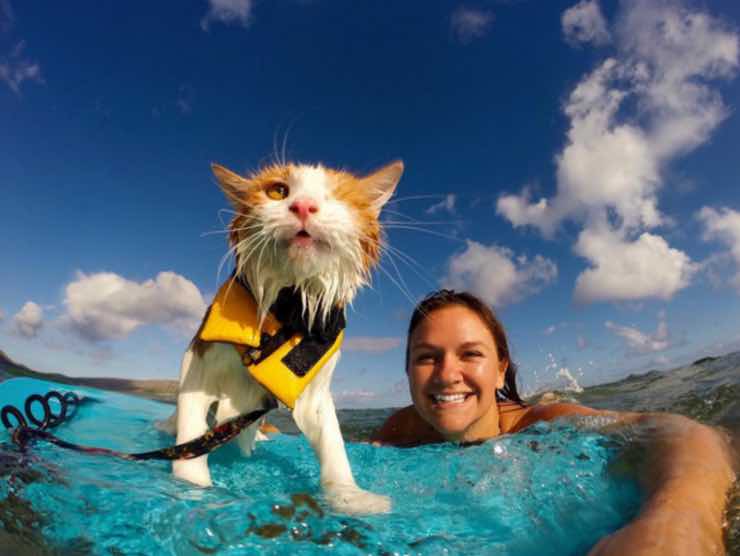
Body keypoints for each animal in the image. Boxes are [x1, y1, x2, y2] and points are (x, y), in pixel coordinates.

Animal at [169, 159, 404, 516]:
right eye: (278, 191)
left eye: (337, 195)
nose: (304, 206)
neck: (289, 306)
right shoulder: (198, 365)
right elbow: (190, 435)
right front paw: (192, 487)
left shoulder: (315, 391)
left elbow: (333, 444)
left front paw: (350, 495)